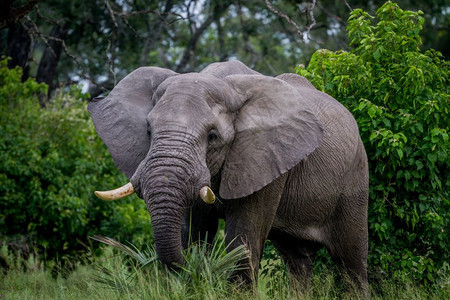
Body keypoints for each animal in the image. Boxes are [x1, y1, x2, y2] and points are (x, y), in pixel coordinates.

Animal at [88, 60, 370, 288]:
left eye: (213, 136)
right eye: (148, 130)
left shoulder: (264, 157)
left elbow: (242, 242)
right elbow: (195, 231)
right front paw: (195, 266)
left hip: (356, 179)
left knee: (351, 261)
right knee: (297, 261)